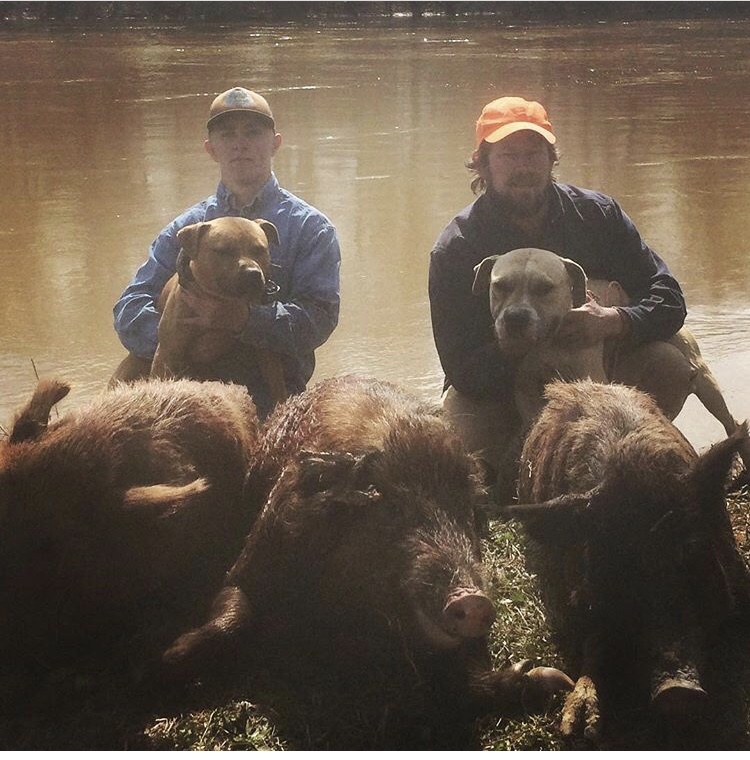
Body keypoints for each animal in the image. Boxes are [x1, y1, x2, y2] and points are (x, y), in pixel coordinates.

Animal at [112, 216, 288, 407]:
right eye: (223, 251)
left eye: (259, 249)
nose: (252, 273)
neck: (221, 300)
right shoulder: (167, 352)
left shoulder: (265, 348)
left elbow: (277, 384)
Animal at [162, 375, 572, 749]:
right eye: (386, 502)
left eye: (469, 507)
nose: (473, 599)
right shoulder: (251, 561)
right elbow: (234, 615)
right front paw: (167, 661)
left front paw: (552, 680)